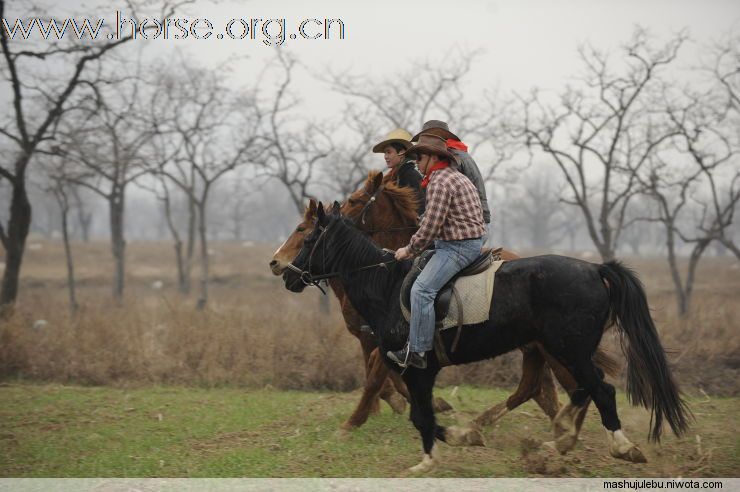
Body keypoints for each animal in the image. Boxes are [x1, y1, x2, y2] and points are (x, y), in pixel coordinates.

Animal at [284, 201, 692, 472]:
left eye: (307, 237)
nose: (285, 273)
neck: (386, 286)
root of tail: (595, 269)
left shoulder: (416, 369)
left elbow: (421, 416)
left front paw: (430, 459)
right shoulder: (418, 373)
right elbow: (422, 414)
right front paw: (462, 437)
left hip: (569, 350)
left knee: (600, 389)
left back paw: (620, 448)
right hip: (560, 350)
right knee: (578, 389)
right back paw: (556, 439)